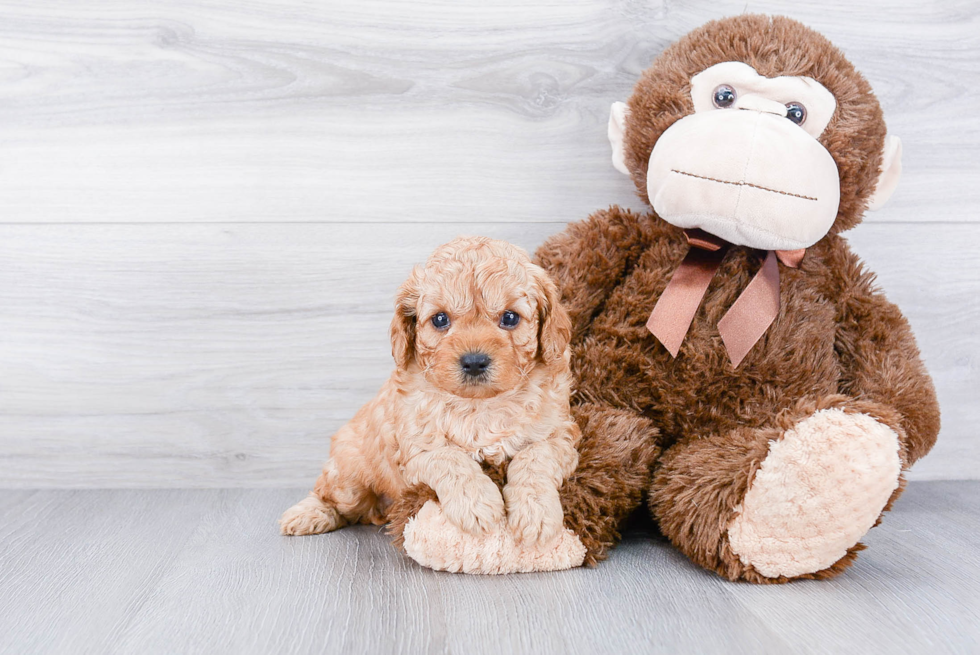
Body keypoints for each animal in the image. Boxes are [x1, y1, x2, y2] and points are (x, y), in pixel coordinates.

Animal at [280, 238, 580, 544]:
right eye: (439, 319)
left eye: (510, 317)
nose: (474, 361)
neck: (480, 405)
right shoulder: (415, 447)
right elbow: (449, 458)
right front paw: (476, 505)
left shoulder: (560, 436)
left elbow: (534, 459)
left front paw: (536, 514)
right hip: (349, 477)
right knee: (330, 495)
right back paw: (308, 514)